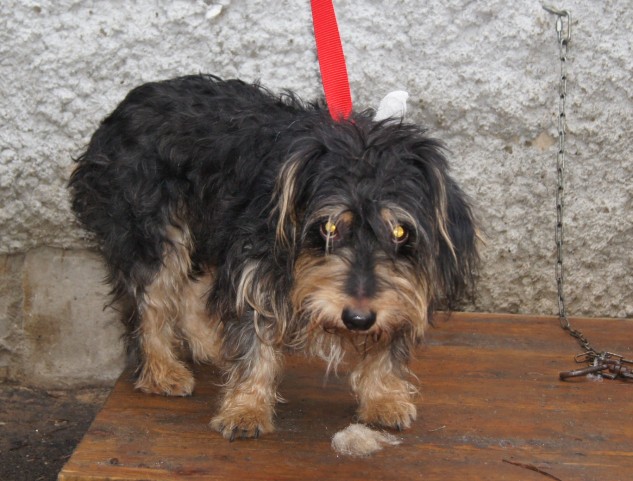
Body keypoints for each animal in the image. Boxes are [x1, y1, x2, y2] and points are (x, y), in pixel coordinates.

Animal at [69, 74, 478, 440]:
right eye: (329, 227)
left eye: (399, 232)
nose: (358, 318)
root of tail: (125, 107)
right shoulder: (253, 267)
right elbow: (254, 343)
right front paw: (246, 408)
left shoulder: (398, 294)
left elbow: (387, 341)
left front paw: (384, 398)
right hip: (153, 229)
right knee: (151, 302)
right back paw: (161, 370)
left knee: (190, 291)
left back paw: (211, 346)